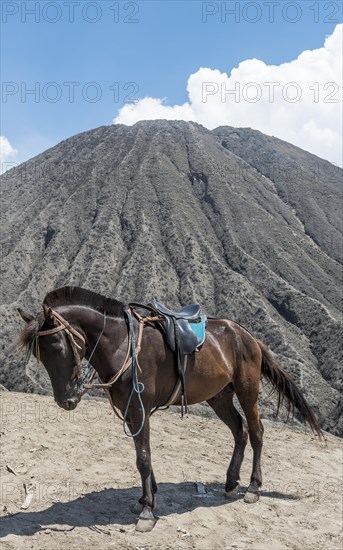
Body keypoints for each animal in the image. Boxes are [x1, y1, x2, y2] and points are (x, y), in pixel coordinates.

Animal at [17, 286, 324, 532]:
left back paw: (253, 488)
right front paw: (146, 498)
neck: (122, 345)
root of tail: (248, 336)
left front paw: (147, 512)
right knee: (240, 431)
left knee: (257, 432)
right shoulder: (131, 411)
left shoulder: (140, 409)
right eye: (39, 355)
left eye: (58, 348)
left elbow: (142, 458)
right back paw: (231, 484)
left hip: (247, 391)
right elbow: (144, 455)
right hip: (219, 397)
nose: (66, 401)